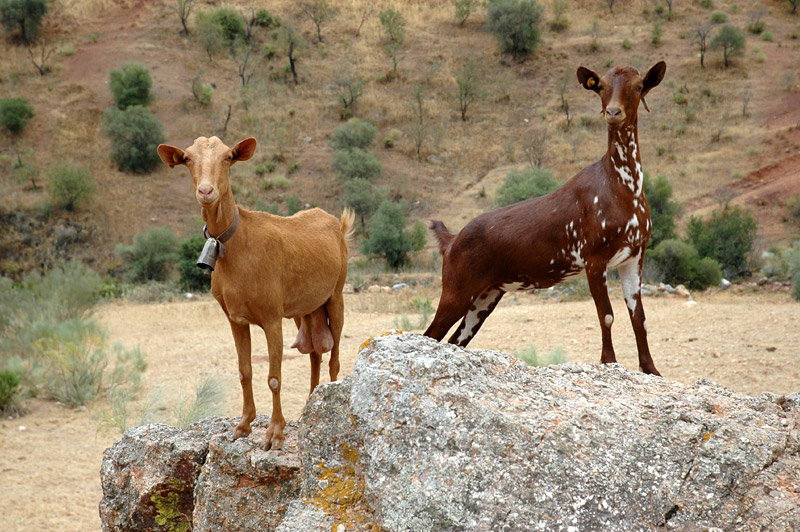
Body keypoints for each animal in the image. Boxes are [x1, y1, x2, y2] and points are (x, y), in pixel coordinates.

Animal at [156, 135, 354, 446]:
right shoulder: (235, 319)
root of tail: (338, 225)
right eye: (188, 159)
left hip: (336, 295)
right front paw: (243, 425)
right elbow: (244, 371)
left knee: (334, 358)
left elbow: (274, 377)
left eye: (227, 157)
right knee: (315, 355)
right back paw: (310, 406)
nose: (206, 191)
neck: (237, 246)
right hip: (305, 310)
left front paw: (275, 432)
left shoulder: (272, 316)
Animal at [424, 62, 668, 376]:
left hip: (486, 295)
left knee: (455, 340)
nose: (613, 113)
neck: (620, 188)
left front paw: (651, 369)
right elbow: (607, 315)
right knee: (430, 334)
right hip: (456, 287)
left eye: (638, 87)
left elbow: (639, 317)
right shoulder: (593, 257)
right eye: (600, 86)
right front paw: (609, 361)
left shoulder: (634, 256)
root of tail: (452, 240)